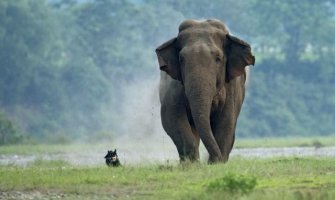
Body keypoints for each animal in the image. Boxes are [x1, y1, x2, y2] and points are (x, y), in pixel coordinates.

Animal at [156, 18, 256, 163]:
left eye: (218, 59)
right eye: (181, 59)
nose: (216, 158)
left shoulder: (232, 86)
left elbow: (227, 120)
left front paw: (216, 164)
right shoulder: (173, 85)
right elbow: (171, 116)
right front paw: (192, 164)